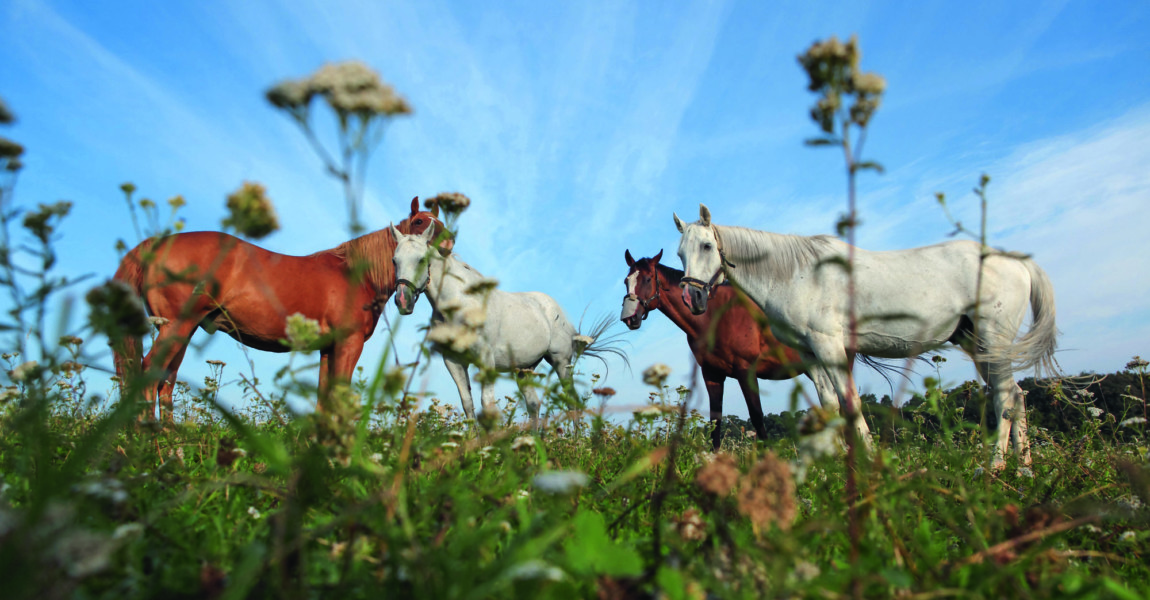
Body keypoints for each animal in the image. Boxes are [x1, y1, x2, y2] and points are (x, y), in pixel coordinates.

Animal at [113, 197, 443, 420]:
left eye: (442, 225)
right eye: (419, 222)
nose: (446, 246)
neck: (355, 274)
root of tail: (154, 245)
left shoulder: (328, 349)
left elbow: (323, 402)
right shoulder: (348, 344)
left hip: (182, 329)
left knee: (164, 384)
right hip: (176, 326)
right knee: (147, 374)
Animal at [391, 221, 625, 422]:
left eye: (422, 259)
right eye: (395, 261)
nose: (402, 300)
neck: (460, 305)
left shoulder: (485, 359)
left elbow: (487, 404)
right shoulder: (453, 361)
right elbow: (467, 404)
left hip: (561, 362)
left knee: (571, 402)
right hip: (525, 369)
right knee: (533, 404)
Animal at [625, 248, 814, 448]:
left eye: (647, 279)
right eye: (626, 281)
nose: (630, 318)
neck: (717, 316)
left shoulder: (746, 370)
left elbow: (756, 415)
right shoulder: (712, 374)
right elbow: (715, 420)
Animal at [671, 203, 1058, 464]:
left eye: (707, 246)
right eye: (679, 253)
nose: (693, 297)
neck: (797, 274)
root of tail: (1015, 261)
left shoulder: (830, 347)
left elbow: (851, 405)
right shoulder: (812, 356)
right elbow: (830, 407)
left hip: (993, 341)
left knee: (1005, 398)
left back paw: (993, 468)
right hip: (977, 344)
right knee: (1016, 395)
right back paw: (1024, 470)